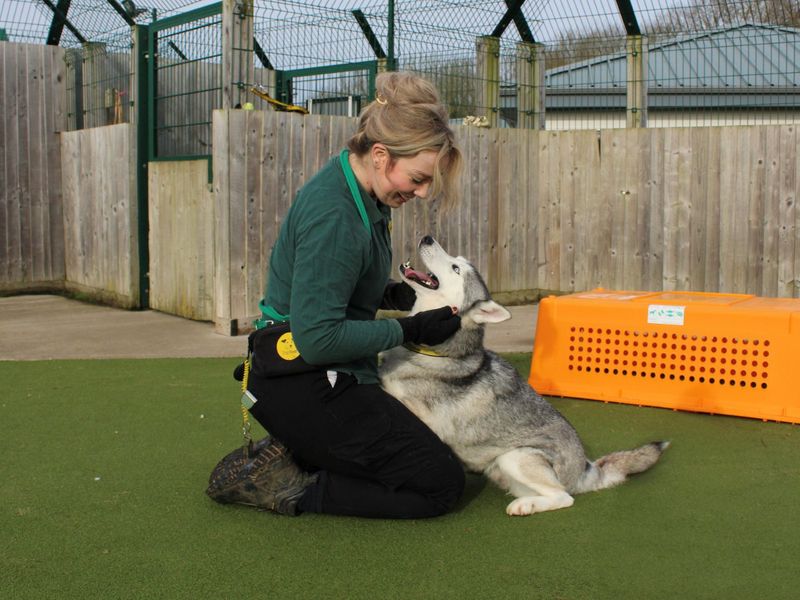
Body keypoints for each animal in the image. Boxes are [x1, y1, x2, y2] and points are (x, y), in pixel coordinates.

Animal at [378, 237, 664, 516]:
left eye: (456, 268)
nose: (427, 238)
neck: (437, 351)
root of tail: (586, 468)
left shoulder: (427, 419)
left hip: (516, 457)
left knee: (564, 497)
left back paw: (524, 506)